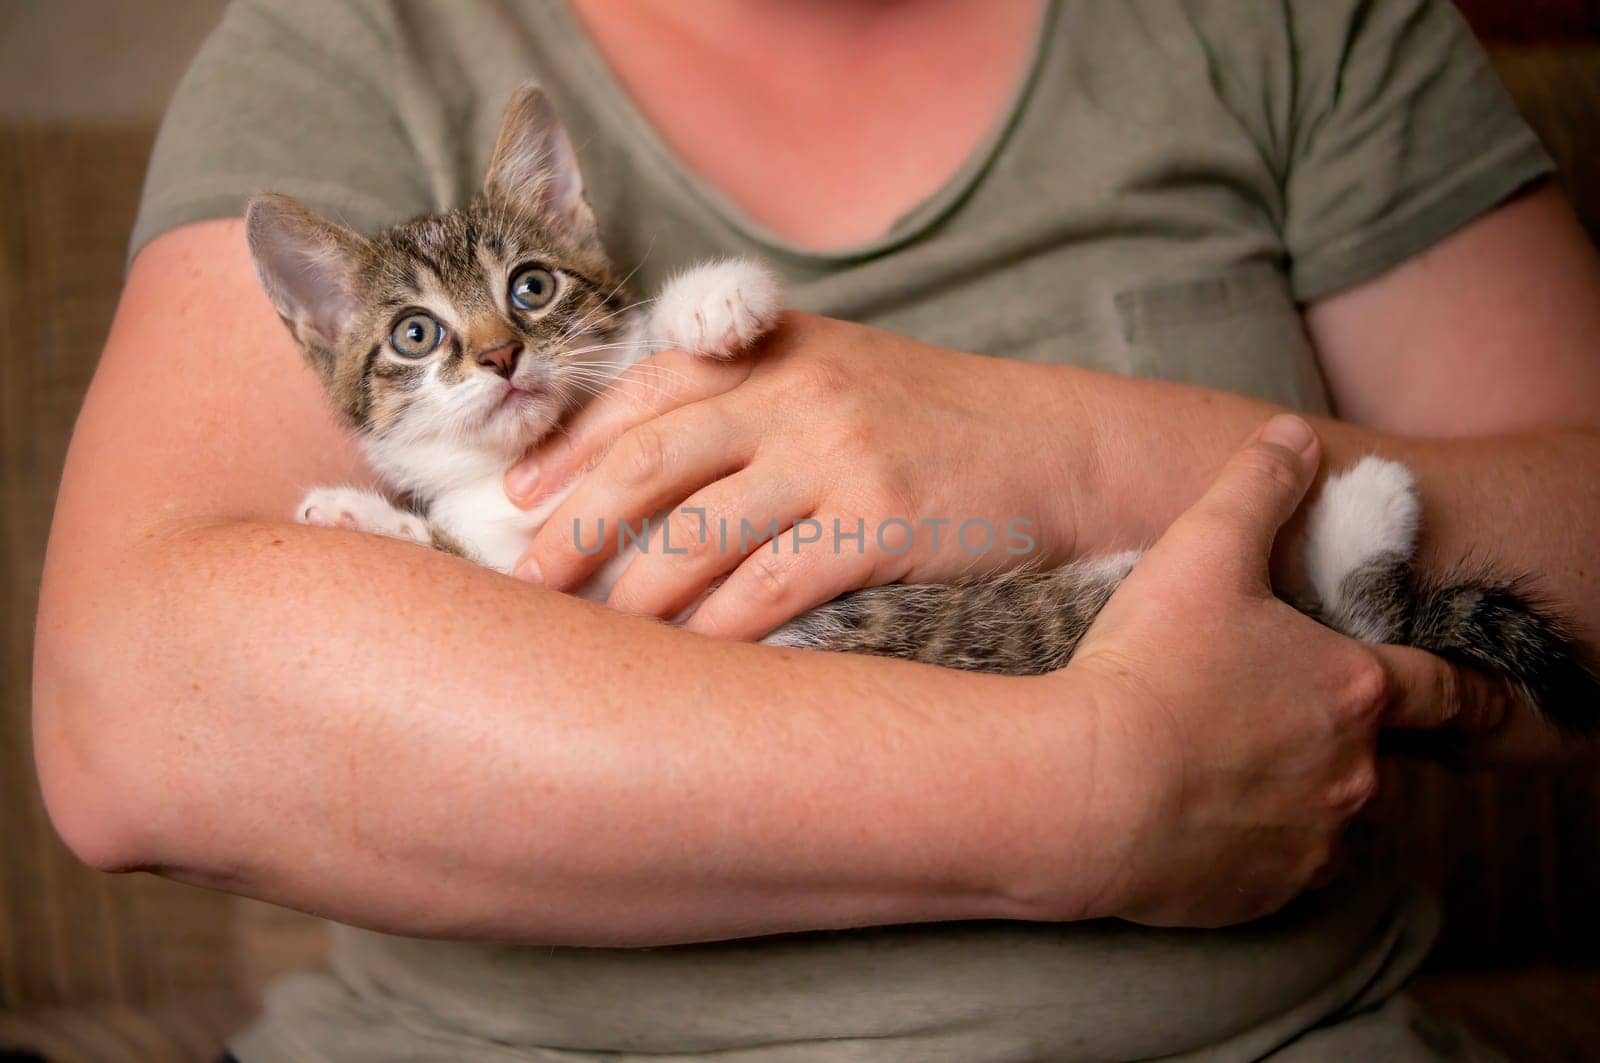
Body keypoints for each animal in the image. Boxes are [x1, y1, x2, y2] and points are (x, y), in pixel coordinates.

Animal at [243, 83, 1593, 736]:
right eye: (415, 335)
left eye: (532, 285)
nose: (500, 355)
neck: (546, 461)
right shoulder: (545, 577)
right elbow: (463, 548)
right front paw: (358, 512)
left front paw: (712, 305)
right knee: (1357, 621)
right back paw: (1370, 509)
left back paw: (1371, 494)